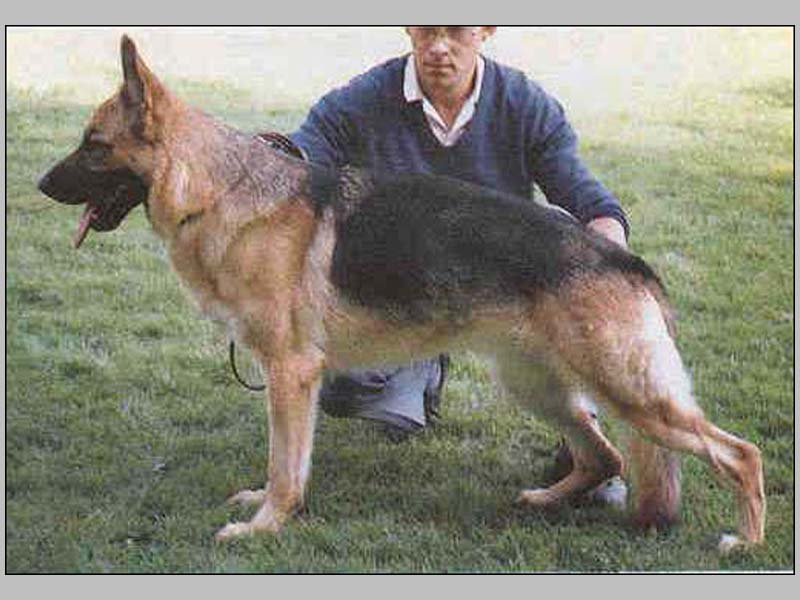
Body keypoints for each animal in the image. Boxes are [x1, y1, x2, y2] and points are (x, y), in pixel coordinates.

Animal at [37, 36, 764, 551]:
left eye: (94, 146)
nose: (40, 185)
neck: (218, 191)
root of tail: (627, 260)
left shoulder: (289, 374)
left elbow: (284, 466)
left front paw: (265, 527)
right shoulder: (293, 380)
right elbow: (287, 464)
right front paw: (268, 511)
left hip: (630, 394)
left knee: (739, 454)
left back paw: (746, 541)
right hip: (539, 387)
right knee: (606, 453)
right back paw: (546, 499)